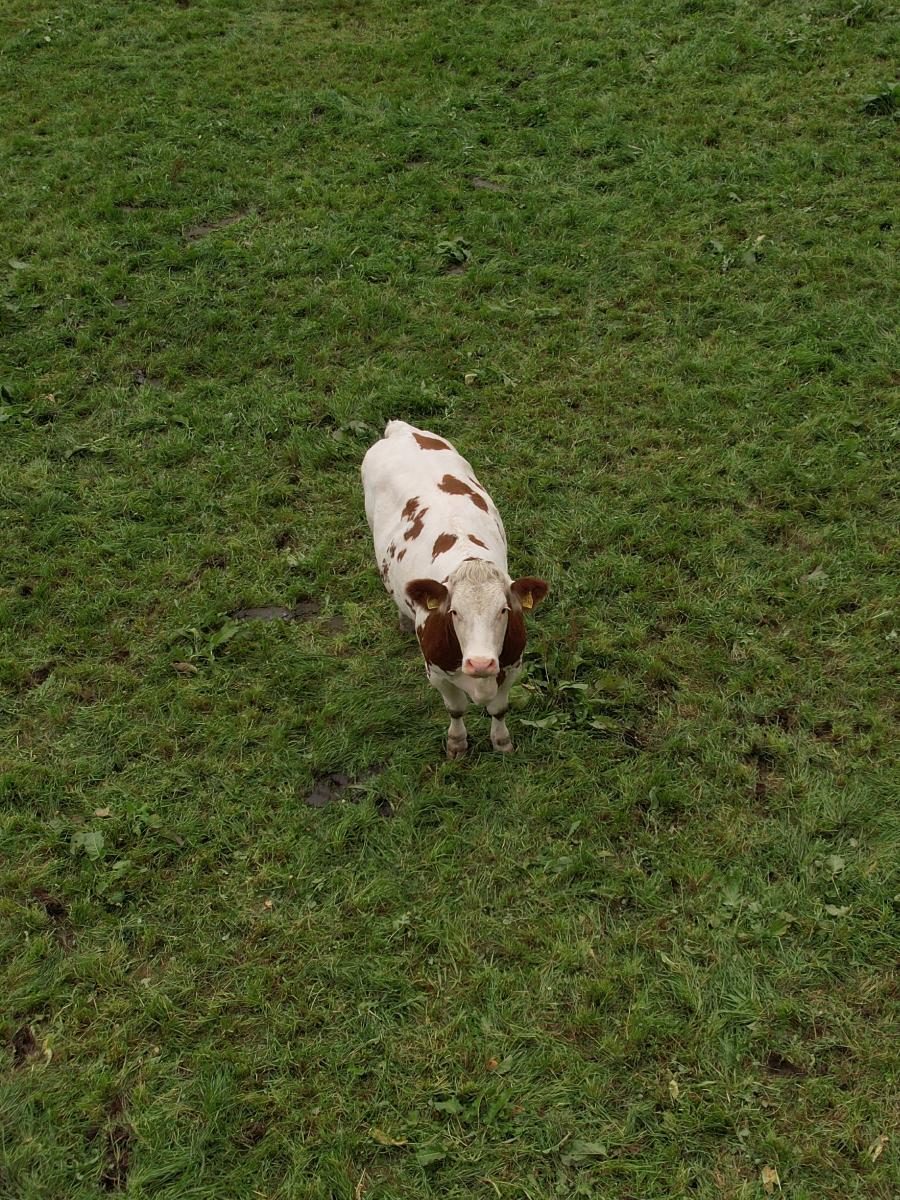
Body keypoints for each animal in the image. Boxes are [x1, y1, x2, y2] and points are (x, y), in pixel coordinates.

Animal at [361, 420, 548, 757]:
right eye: (454, 612)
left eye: (503, 610)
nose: (481, 662)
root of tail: (401, 429)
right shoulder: (437, 674)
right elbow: (456, 710)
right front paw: (457, 743)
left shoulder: (512, 667)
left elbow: (499, 710)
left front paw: (502, 742)